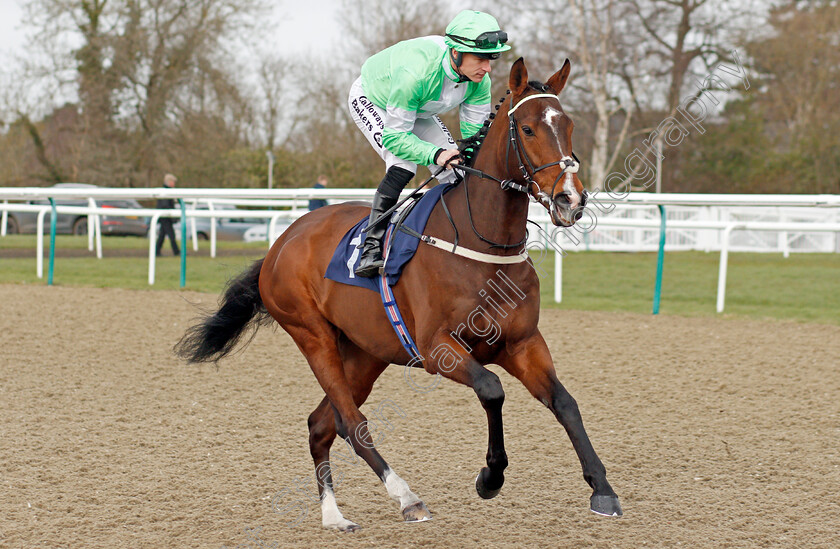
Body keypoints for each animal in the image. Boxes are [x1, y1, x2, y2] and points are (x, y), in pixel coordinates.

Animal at [177, 56, 620, 532]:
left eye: (568, 125)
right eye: (529, 128)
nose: (570, 199)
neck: (482, 245)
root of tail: (282, 242)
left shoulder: (522, 343)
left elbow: (565, 403)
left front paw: (602, 489)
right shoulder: (436, 349)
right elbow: (492, 389)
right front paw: (490, 477)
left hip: (365, 352)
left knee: (321, 424)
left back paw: (333, 515)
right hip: (313, 337)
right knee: (351, 423)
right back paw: (406, 497)